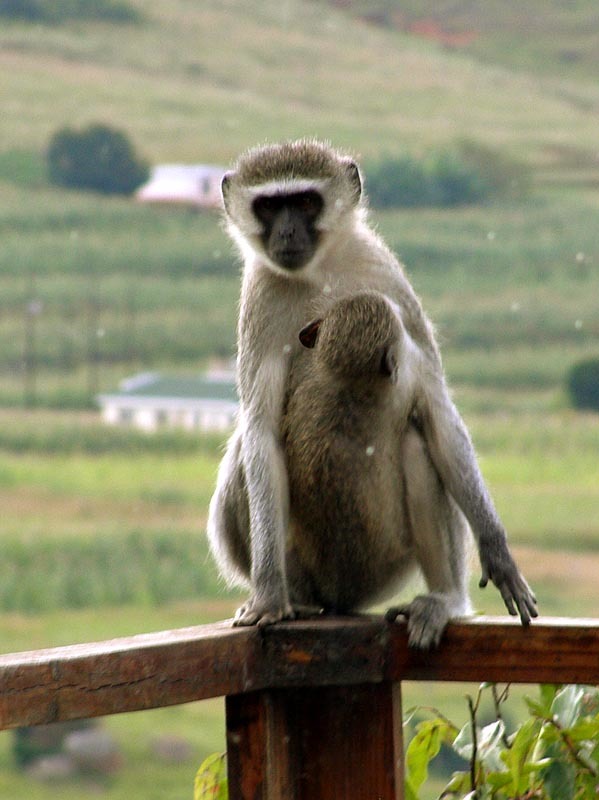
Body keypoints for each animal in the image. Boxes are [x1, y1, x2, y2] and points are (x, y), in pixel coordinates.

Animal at [207, 139, 540, 648]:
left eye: (306, 201)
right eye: (269, 206)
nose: (287, 231)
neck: (319, 272)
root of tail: (337, 596)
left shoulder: (386, 279)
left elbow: (438, 413)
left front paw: (497, 552)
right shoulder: (260, 299)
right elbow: (262, 433)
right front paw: (267, 592)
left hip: (385, 565)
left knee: (419, 445)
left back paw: (447, 600)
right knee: (248, 449)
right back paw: (296, 597)